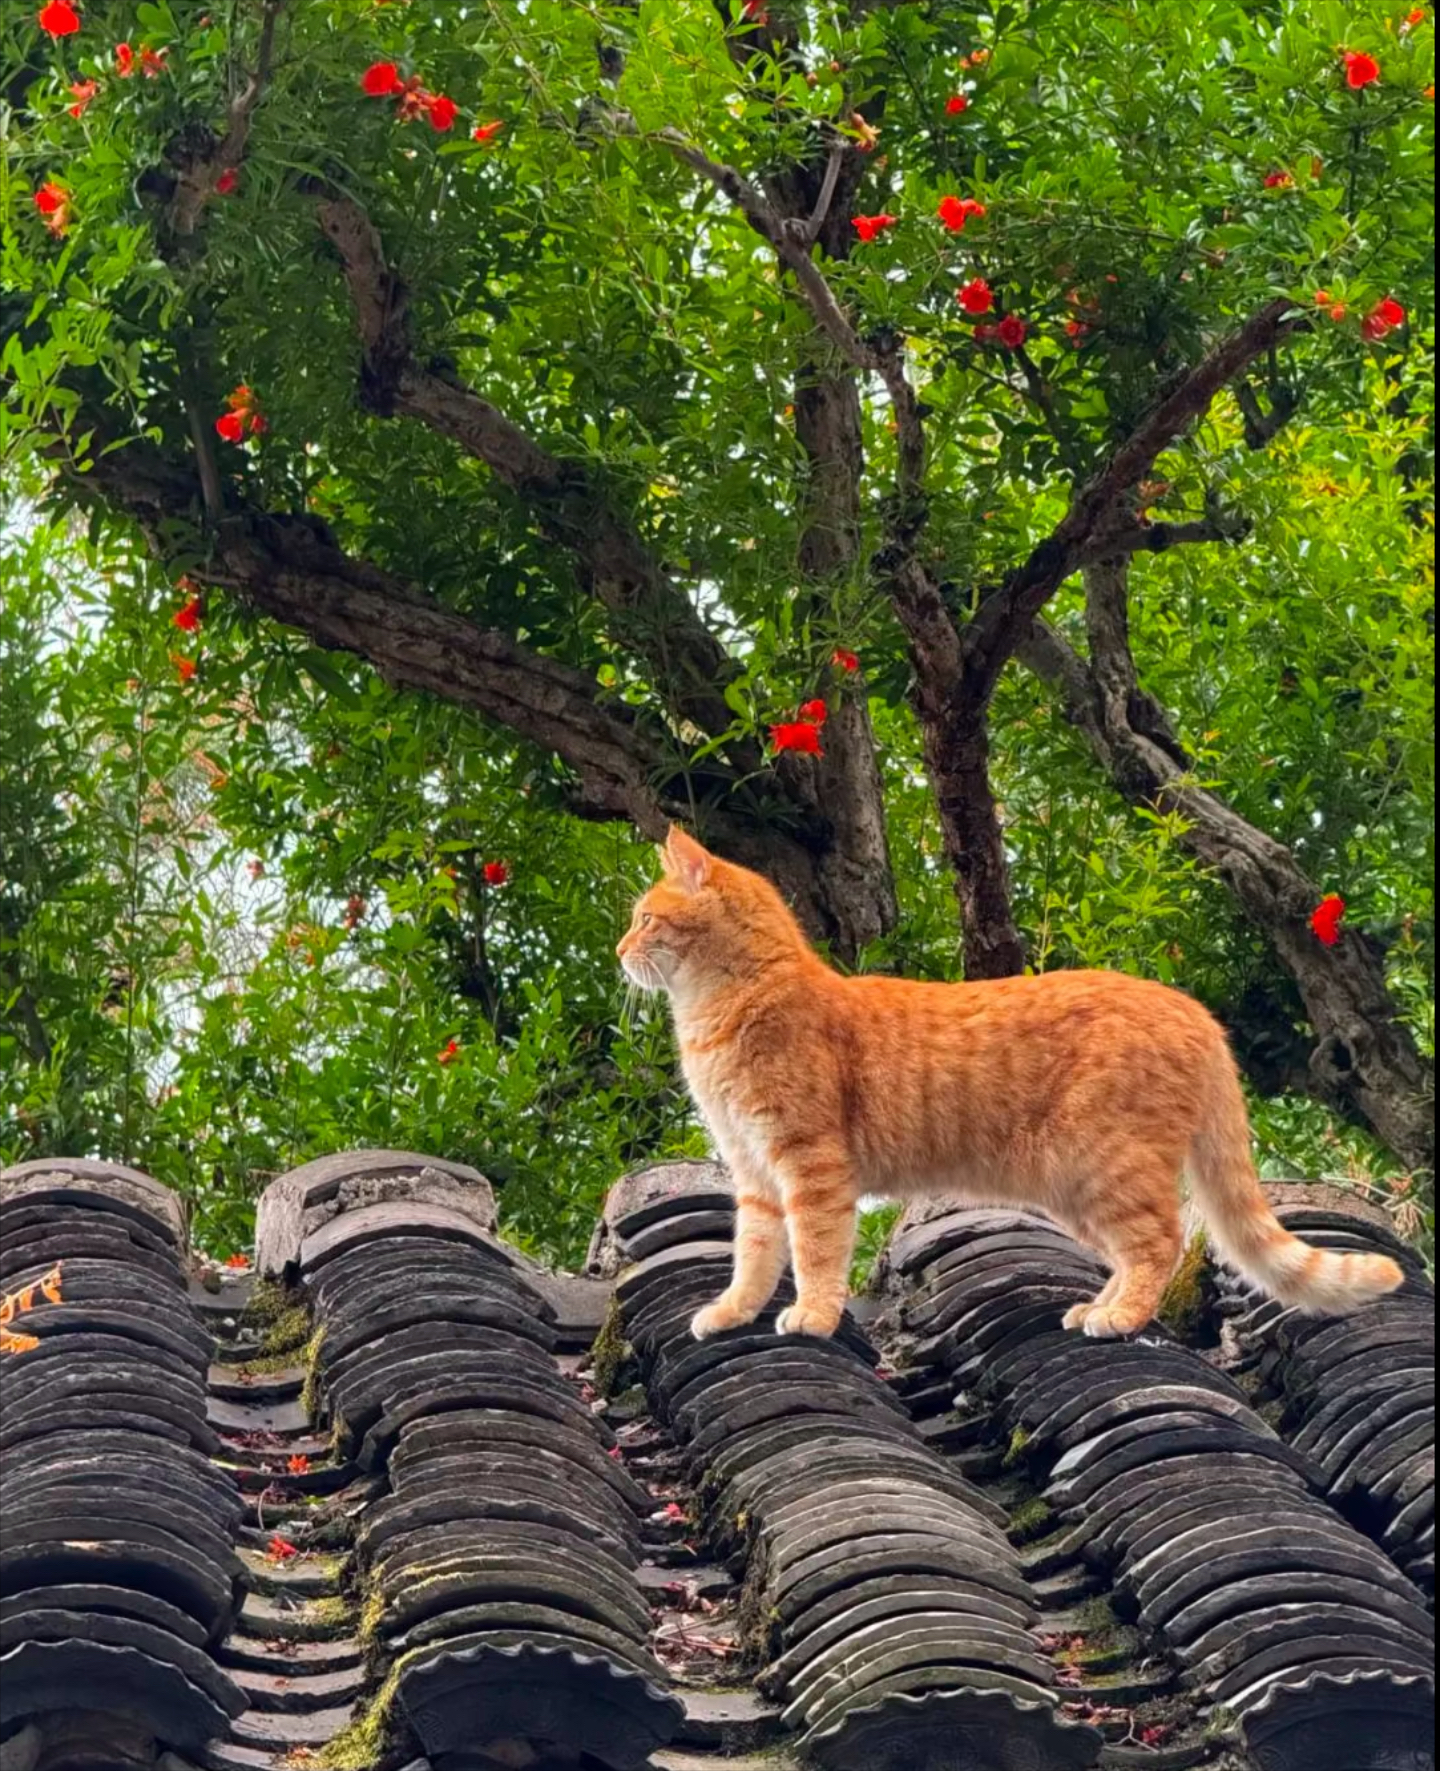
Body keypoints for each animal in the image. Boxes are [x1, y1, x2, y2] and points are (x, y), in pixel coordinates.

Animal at [619, 828, 1402, 1338]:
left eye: (645, 917)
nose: (622, 949)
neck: (721, 1010)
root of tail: (1191, 1008)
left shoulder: (808, 1164)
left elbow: (813, 1251)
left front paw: (812, 1315)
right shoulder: (754, 1174)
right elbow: (752, 1254)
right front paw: (734, 1312)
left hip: (1105, 1167)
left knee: (1163, 1241)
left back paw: (1119, 1316)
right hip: (1078, 1188)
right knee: (1140, 1249)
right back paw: (1099, 1306)